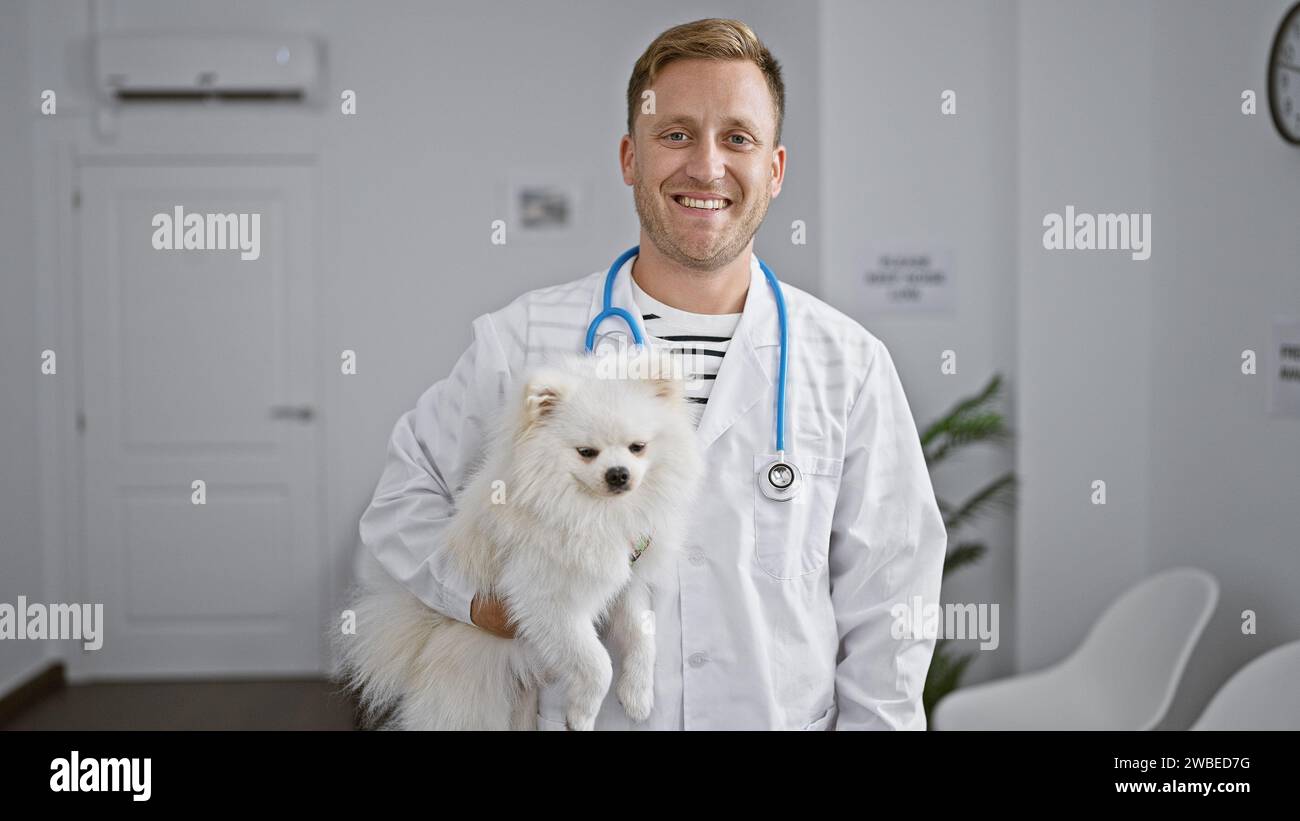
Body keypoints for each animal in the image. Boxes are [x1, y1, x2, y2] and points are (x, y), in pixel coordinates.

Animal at [335, 345, 702, 732]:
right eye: (586, 452)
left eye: (637, 447)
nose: (619, 474)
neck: (593, 510)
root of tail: (426, 632)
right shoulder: (546, 601)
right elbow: (596, 663)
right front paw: (581, 715)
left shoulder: (626, 582)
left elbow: (642, 635)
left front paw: (636, 696)